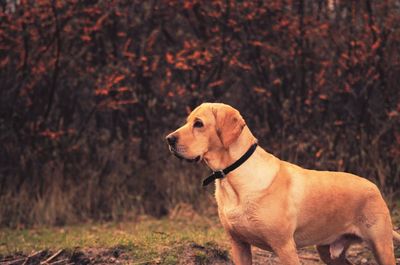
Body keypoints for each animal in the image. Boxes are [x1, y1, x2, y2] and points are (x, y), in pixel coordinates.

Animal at [166, 102, 400, 262]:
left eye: (198, 124)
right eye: (187, 121)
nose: (169, 139)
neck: (233, 178)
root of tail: (374, 187)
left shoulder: (285, 247)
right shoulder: (239, 245)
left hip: (381, 245)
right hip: (328, 251)